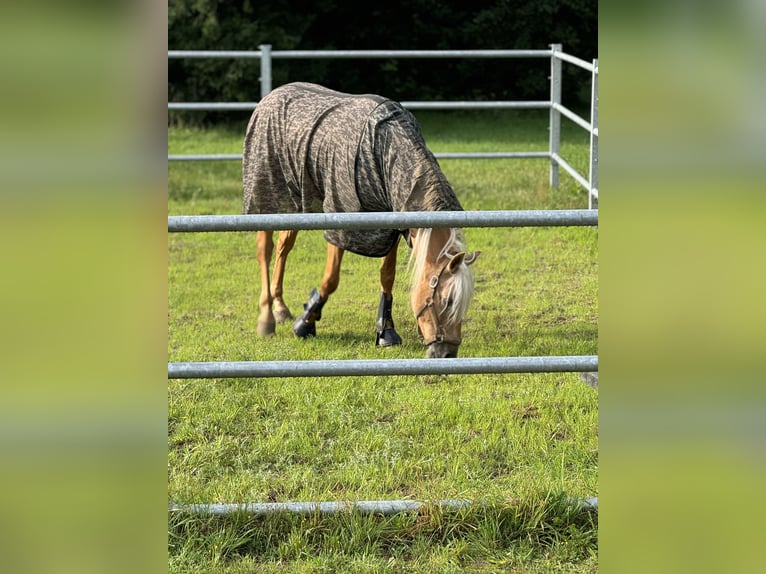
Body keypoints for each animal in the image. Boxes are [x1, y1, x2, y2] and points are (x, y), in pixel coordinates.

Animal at [243, 82, 480, 358]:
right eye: (447, 300)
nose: (447, 354)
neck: (384, 150)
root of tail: (271, 96)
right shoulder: (340, 220)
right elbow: (331, 278)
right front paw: (305, 323)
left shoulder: (391, 226)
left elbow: (387, 275)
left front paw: (385, 331)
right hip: (268, 198)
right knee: (266, 250)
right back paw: (267, 317)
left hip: (295, 204)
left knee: (283, 248)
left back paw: (280, 307)